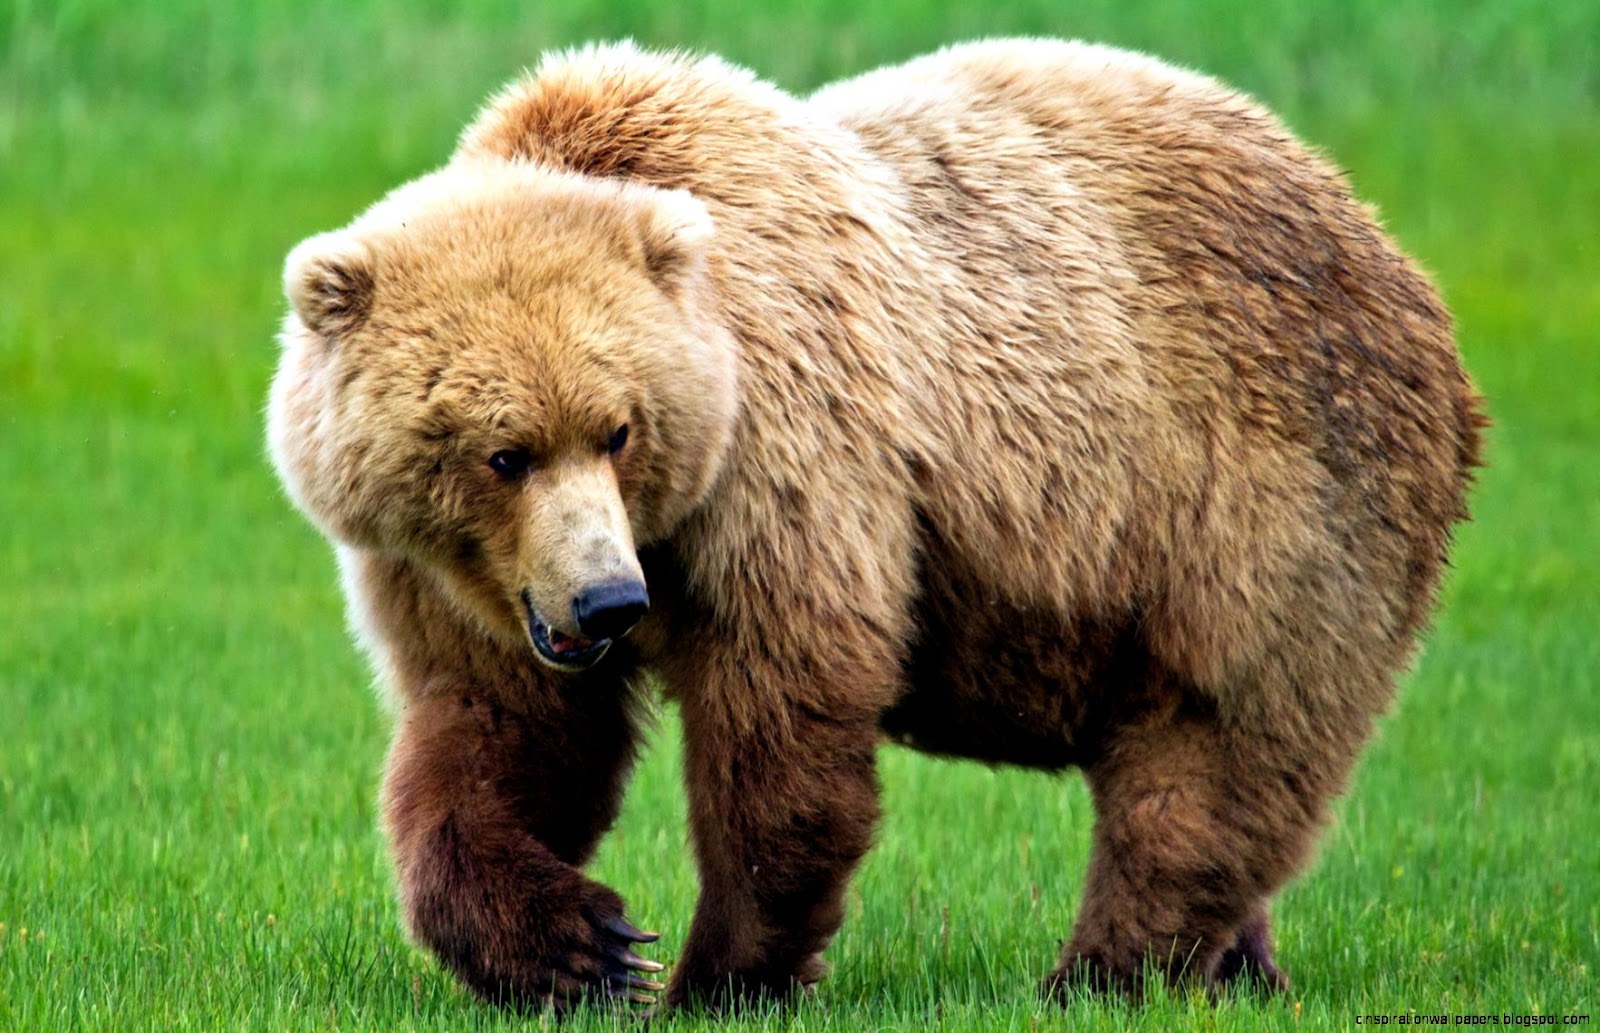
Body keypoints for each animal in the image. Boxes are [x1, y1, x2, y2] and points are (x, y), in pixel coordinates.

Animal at [267, 39, 1484, 1013]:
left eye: (618, 429)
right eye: (502, 452)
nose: (610, 604)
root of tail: (1386, 245)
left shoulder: (786, 454)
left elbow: (785, 712)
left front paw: (718, 975)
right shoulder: (456, 574)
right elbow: (497, 734)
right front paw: (584, 945)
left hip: (1262, 489)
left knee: (1215, 743)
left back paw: (1104, 970)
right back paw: (1238, 965)